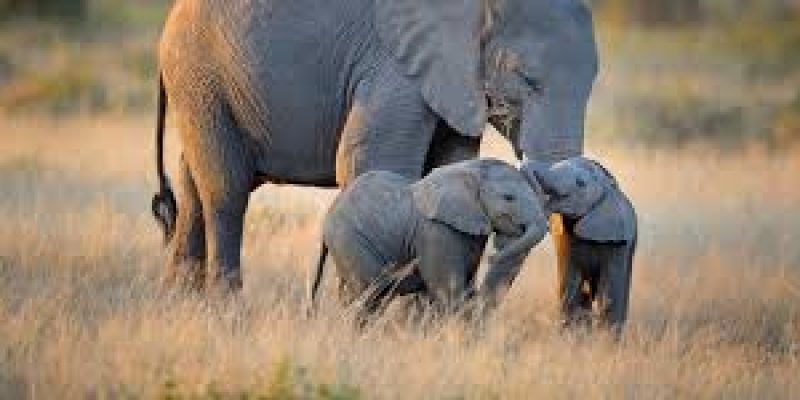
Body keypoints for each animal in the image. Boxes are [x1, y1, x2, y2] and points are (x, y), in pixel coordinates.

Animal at [150, 0, 599, 293]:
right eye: (527, 79)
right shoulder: (395, 67)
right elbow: (369, 160)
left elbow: (450, 164)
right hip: (200, 74)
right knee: (226, 190)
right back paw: (225, 309)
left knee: (194, 187)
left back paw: (182, 306)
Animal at [308, 159, 549, 318]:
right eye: (509, 198)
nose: (492, 256)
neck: (471, 170)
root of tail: (328, 217)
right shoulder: (435, 231)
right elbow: (449, 292)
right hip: (350, 241)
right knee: (369, 296)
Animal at [522, 157, 637, 333]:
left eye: (580, 183)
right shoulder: (566, 240)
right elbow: (570, 285)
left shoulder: (619, 243)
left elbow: (609, 292)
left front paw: (605, 338)